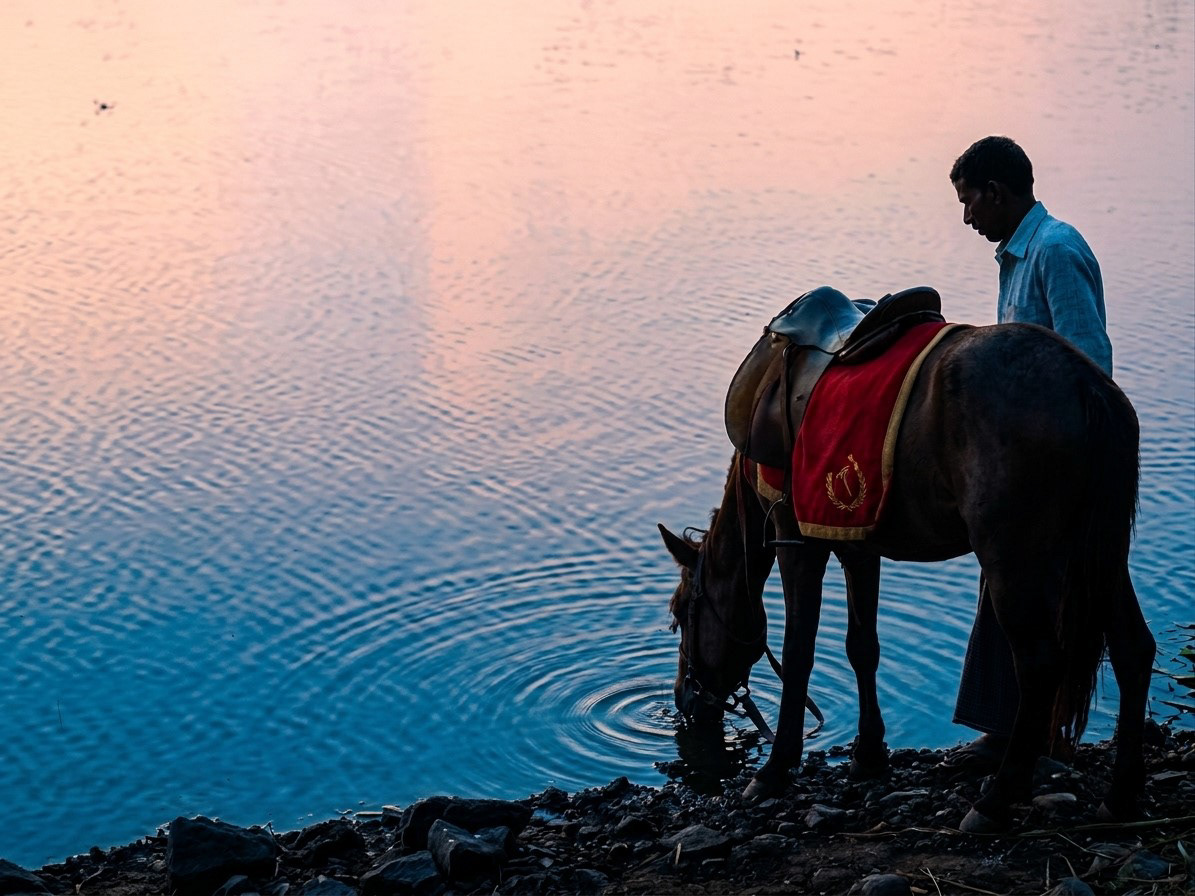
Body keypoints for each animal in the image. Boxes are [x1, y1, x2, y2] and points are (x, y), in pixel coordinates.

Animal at [659, 319, 1156, 833]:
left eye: (679, 613)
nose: (682, 698)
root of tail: (1085, 383)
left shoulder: (796, 541)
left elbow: (798, 653)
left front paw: (775, 769)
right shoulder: (857, 543)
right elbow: (862, 648)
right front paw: (869, 755)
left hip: (1014, 557)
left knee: (1039, 666)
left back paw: (996, 799)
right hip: (1098, 553)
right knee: (1133, 649)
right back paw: (1121, 794)